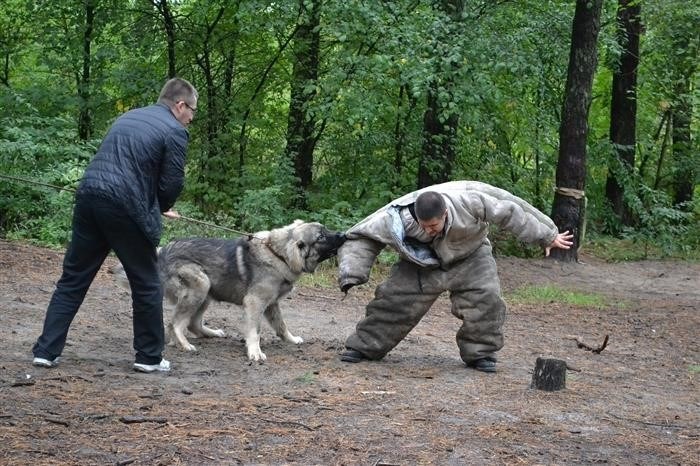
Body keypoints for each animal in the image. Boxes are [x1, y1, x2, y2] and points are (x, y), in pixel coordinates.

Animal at [110, 220, 346, 362]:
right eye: (321, 237)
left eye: (325, 230)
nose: (343, 234)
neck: (277, 254)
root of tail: (163, 252)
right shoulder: (255, 303)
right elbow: (255, 331)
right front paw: (255, 352)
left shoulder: (271, 304)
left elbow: (281, 326)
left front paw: (291, 339)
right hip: (201, 285)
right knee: (176, 323)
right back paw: (183, 344)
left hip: (207, 292)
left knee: (193, 324)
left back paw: (211, 333)